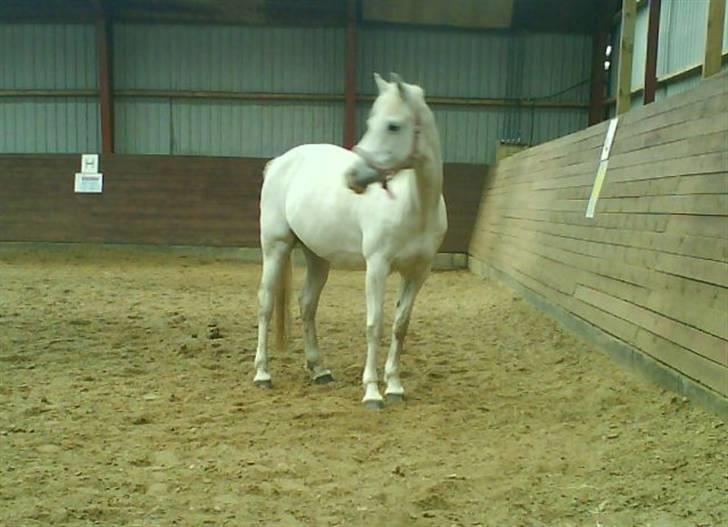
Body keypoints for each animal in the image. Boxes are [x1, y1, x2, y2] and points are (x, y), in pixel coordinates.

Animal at [253, 72, 447, 409]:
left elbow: (400, 326)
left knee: (307, 304)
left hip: (318, 257)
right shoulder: (377, 267)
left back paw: (319, 370)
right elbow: (375, 324)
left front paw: (394, 387)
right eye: (371, 122)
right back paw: (263, 374)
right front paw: (372, 392)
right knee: (266, 303)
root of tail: (278, 163)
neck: (414, 205)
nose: (352, 178)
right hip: (275, 247)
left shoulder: (418, 273)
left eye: (393, 125)